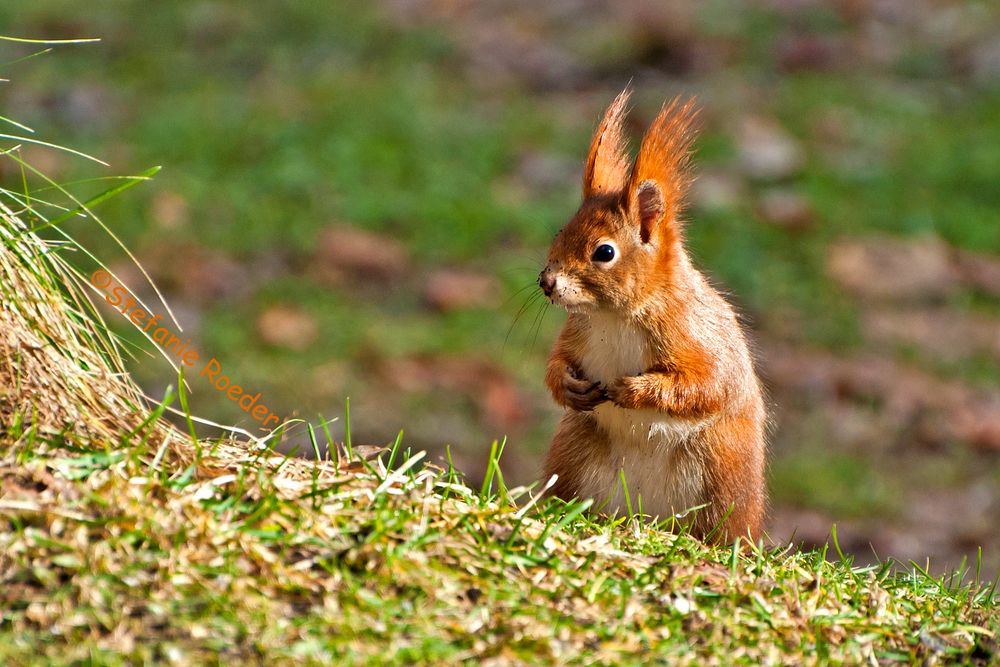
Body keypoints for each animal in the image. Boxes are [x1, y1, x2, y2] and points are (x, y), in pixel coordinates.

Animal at [540, 91, 764, 544]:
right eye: (560, 232)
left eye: (604, 252)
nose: (546, 282)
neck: (614, 317)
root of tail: (646, 514)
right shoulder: (577, 333)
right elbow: (556, 364)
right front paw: (568, 385)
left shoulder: (693, 334)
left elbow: (707, 385)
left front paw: (635, 390)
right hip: (574, 452)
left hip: (722, 470)